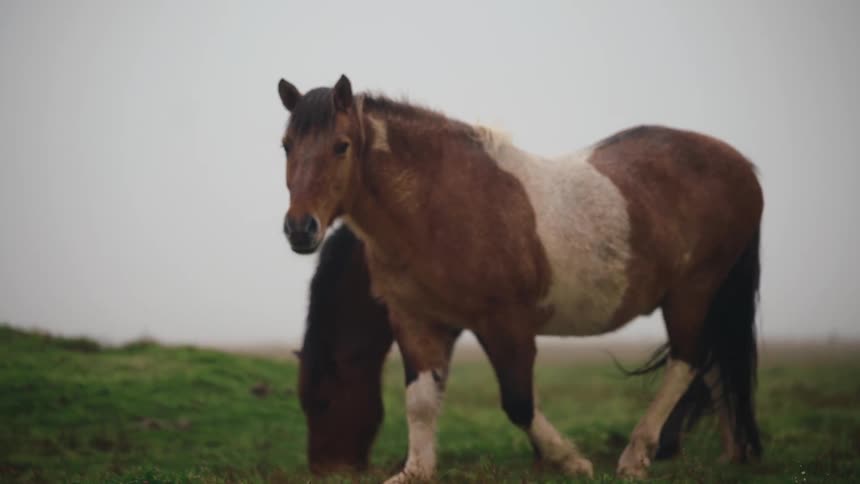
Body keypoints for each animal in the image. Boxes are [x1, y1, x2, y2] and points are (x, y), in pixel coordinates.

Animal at [278, 74, 764, 481]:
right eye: (285, 145)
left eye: (341, 145)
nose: (300, 229)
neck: (436, 205)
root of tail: (742, 166)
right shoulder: (418, 322)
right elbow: (421, 402)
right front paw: (415, 471)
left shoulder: (504, 324)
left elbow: (518, 401)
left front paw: (570, 460)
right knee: (715, 364)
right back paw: (733, 452)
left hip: (692, 292)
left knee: (688, 360)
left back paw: (636, 454)